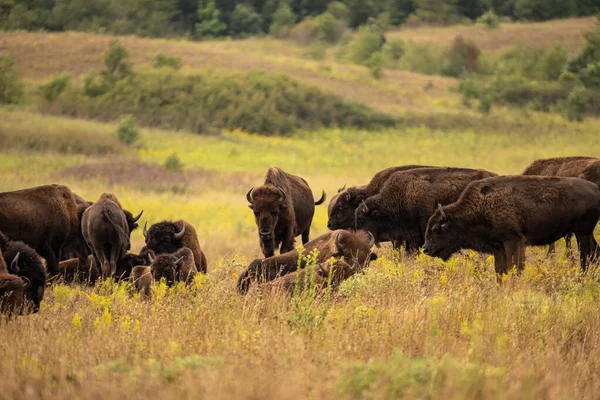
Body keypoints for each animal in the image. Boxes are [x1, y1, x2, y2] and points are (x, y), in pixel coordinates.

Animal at [422, 176, 600, 274]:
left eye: (436, 229)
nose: (426, 249)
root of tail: (596, 189)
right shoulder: (498, 248)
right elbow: (500, 271)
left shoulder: (513, 242)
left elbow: (514, 267)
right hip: (586, 233)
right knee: (595, 252)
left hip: (582, 233)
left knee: (586, 256)